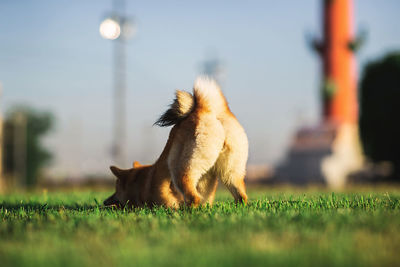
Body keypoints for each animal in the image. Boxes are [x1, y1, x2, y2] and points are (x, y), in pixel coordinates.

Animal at [103, 76, 247, 208]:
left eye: (116, 189)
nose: (104, 201)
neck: (141, 182)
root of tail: (205, 108)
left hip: (180, 169)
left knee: (193, 197)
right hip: (231, 173)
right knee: (241, 197)